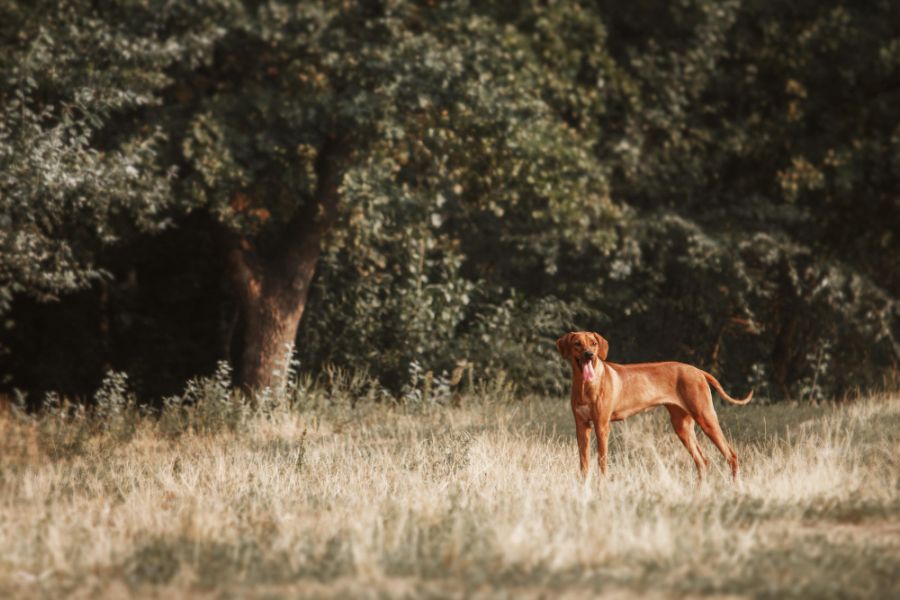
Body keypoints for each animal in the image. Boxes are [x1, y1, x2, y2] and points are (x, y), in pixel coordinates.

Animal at [556, 330, 752, 480]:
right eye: (577, 344)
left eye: (594, 343)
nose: (589, 354)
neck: (585, 385)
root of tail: (697, 370)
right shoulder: (582, 426)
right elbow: (584, 463)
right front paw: (584, 486)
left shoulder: (602, 426)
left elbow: (602, 461)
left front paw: (601, 486)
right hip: (682, 426)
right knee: (702, 462)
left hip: (706, 418)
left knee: (732, 456)